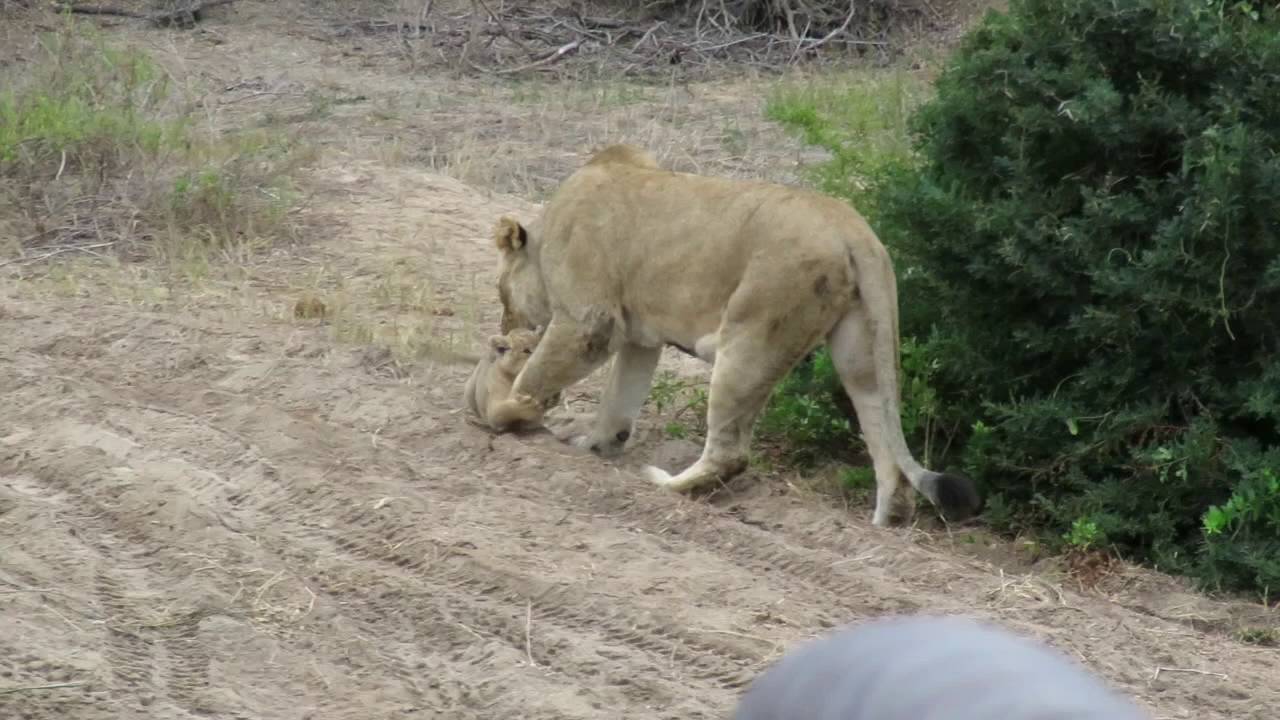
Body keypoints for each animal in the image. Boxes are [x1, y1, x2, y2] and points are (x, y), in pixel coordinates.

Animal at [484, 143, 981, 526]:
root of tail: (854, 229)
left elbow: (536, 374)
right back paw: (884, 523)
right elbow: (618, 403)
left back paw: (665, 483)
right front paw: (594, 445)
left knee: (731, 453)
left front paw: (509, 413)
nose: (504, 329)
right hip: (862, 348)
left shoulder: (591, 321)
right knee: (886, 444)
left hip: (751, 338)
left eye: (500, 290)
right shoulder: (641, 337)